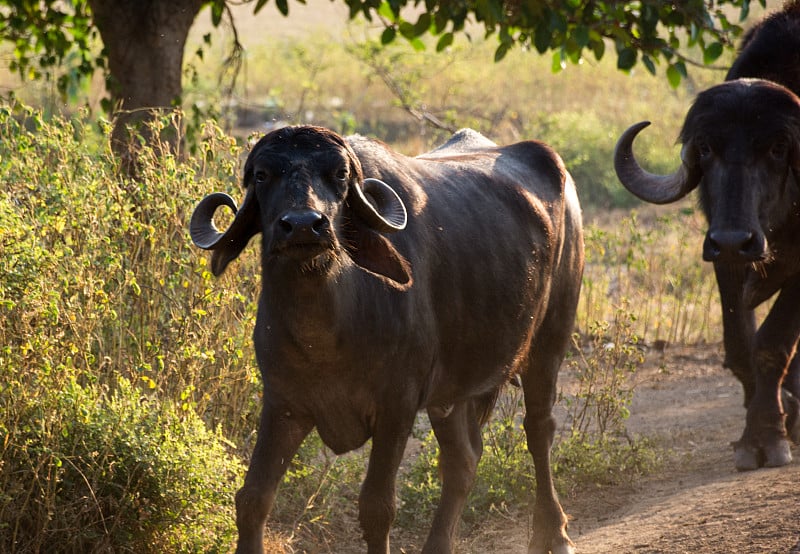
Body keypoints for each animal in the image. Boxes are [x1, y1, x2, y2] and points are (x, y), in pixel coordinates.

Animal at [191, 126, 584, 552]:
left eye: (340, 175)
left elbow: (377, 506)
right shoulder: (284, 405)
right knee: (462, 460)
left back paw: (554, 532)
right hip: (451, 392)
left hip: (549, 343)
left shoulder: (397, 407)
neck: (326, 332)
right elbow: (252, 498)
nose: (304, 225)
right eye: (262, 175)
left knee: (538, 429)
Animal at [612, 3, 800, 470]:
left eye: (777, 148)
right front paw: (772, 417)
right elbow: (739, 347)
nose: (734, 237)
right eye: (705, 148)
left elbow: (772, 344)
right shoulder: (725, 257)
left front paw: (767, 436)